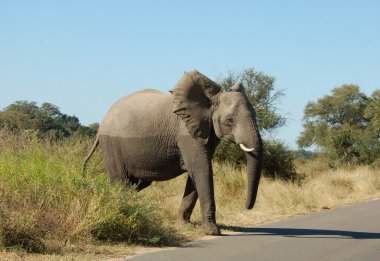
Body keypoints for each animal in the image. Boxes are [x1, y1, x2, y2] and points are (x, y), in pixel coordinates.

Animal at [83, 70, 262, 235]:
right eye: (229, 120)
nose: (246, 206)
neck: (209, 100)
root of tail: (101, 125)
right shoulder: (186, 133)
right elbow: (202, 169)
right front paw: (212, 231)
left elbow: (195, 174)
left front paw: (185, 224)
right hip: (112, 145)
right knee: (120, 182)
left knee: (135, 183)